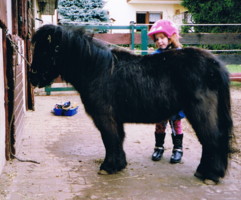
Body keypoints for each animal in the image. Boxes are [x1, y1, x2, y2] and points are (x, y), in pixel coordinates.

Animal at [29, 24, 233, 184]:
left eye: (45, 51)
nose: (32, 77)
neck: (97, 70)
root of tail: (215, 65)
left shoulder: (105, 118)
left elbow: (110, 140)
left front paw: (108, 166)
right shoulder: (115, 119)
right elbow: (117, 140)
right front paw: (119, 164)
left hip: (200, 112)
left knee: (212, 139)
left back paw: (209, 175)